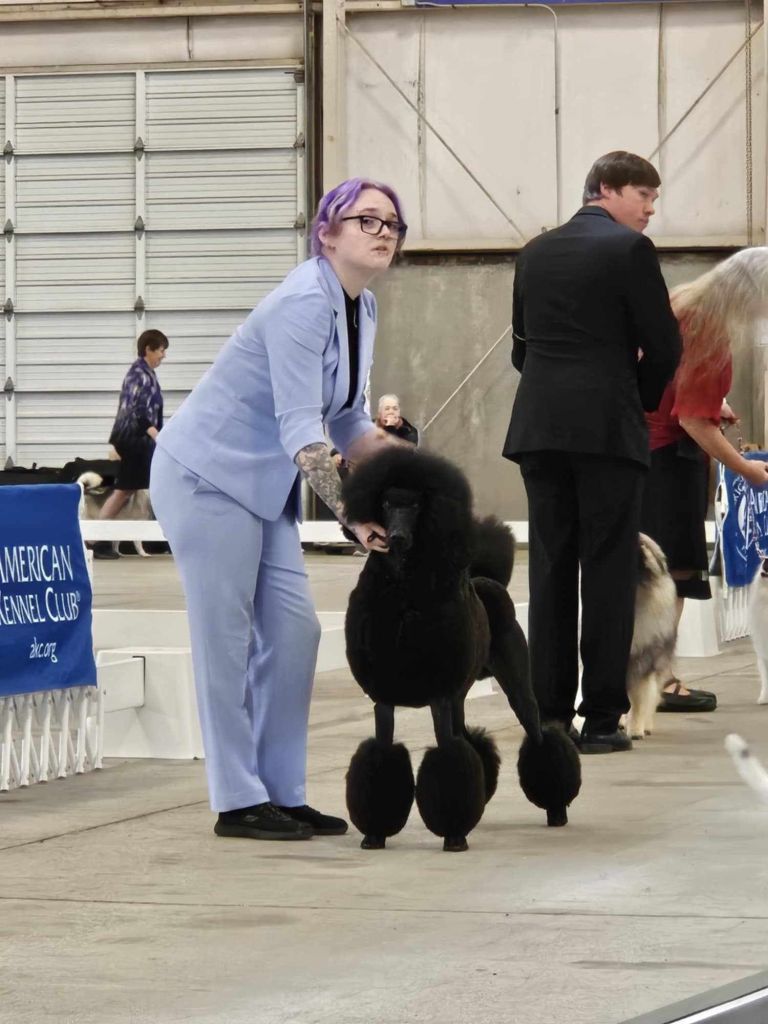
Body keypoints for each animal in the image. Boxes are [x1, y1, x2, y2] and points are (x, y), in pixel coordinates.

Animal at [341, 446, 581, 852]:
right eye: (387, 502)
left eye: (417, 505)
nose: (397, 537)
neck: (404, 593)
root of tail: (486, 581)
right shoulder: (385, 698)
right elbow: (382, 755)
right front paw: (375, 833)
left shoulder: (438, 695)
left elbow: (450, 757)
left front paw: (453, 834)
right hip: (459, 695)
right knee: (469, 738)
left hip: (514, 681)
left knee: (538, 733)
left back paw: (557, 809)